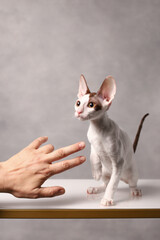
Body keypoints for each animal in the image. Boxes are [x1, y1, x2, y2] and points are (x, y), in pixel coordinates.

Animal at [74, 75, 148, 206]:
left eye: (91, 105)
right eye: (78, 103)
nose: (78, 112)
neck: (98, 130)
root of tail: (123, 178)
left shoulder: (118, 161)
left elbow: (113, 184)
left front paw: (107, 199)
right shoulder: (92, 143)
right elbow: (93, 155)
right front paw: (96, 172)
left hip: (132, 172)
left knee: (130, 183)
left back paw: (135, 191)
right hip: (106, 172)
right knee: (105, 183)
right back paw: (95, 188)